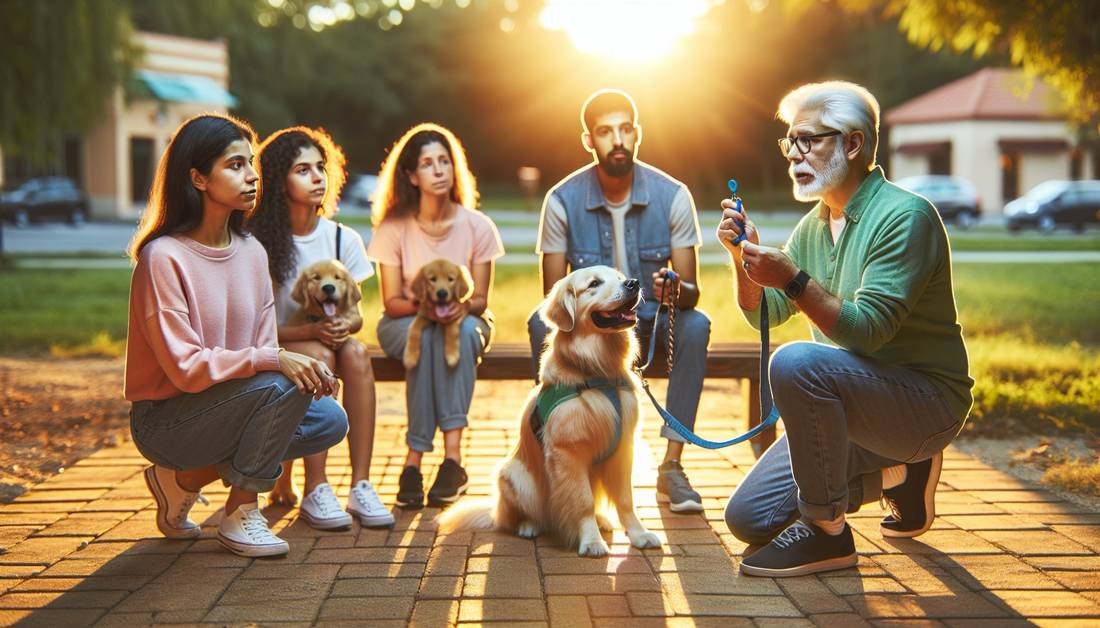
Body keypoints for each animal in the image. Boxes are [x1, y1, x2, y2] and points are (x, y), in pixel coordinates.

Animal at [440, 263, 660, 554]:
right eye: (594, 284)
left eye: (621, 278)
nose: (633, 284)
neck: (597, 372)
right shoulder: (567, 452)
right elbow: (583, 502)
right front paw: (591, 541)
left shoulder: (623, 448)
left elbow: (626, 500)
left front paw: (639, 534)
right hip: (514, 477)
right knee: (527, 516)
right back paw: (529, 526)